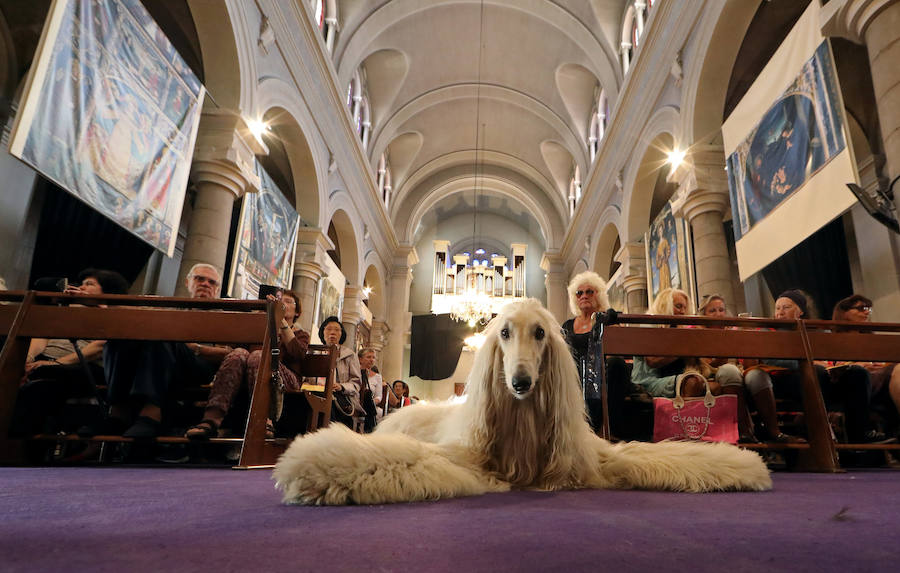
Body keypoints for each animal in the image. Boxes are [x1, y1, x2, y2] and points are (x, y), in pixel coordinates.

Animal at [270, 298, 768, 502]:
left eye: (541, 333)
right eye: (504, 333)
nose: (522, 382)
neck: (523, 416)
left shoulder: (587, 455)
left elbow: (658, 456)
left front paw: (738, 466)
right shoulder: (469, 455)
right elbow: (410, 461)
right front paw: (317, 466)